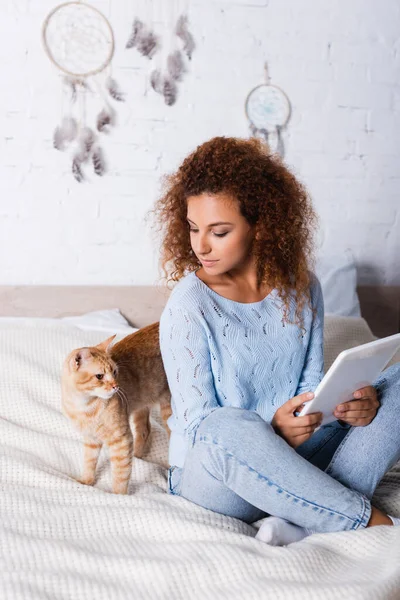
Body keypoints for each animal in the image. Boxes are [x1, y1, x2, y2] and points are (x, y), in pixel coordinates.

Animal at [61, 324, 171, 492]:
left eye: (114, 372)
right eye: (99, 376)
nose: (116, 386)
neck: (85, 407)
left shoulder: (121, 440)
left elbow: (121, 474)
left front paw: (118, 495)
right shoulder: (91, 439)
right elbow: (89, 462)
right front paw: (86, 481)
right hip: (141, 406)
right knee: (145, 430)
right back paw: (138, 456)